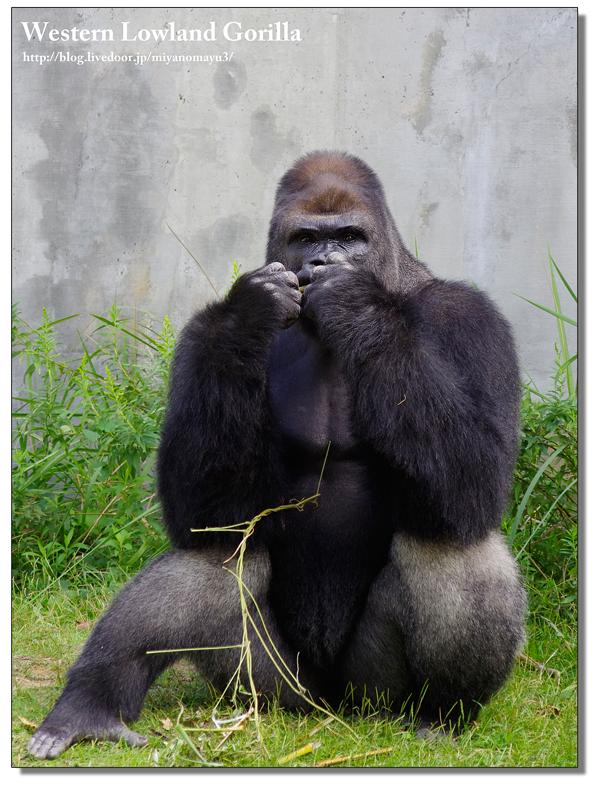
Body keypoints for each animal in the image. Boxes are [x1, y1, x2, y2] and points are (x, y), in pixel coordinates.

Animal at [27, 152, 524, 756]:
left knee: (452, 542)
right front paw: (253, 313)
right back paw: (92, 703)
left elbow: (475, 477)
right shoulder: (201, 334)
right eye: (305, 237)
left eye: (348, 237)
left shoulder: (471, 320)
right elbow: (204, 510)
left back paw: (443, 714)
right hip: (271, 691)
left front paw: (354, 302)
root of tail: (330, 708)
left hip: (371, 698)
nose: (322, 260)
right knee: (218, 554)